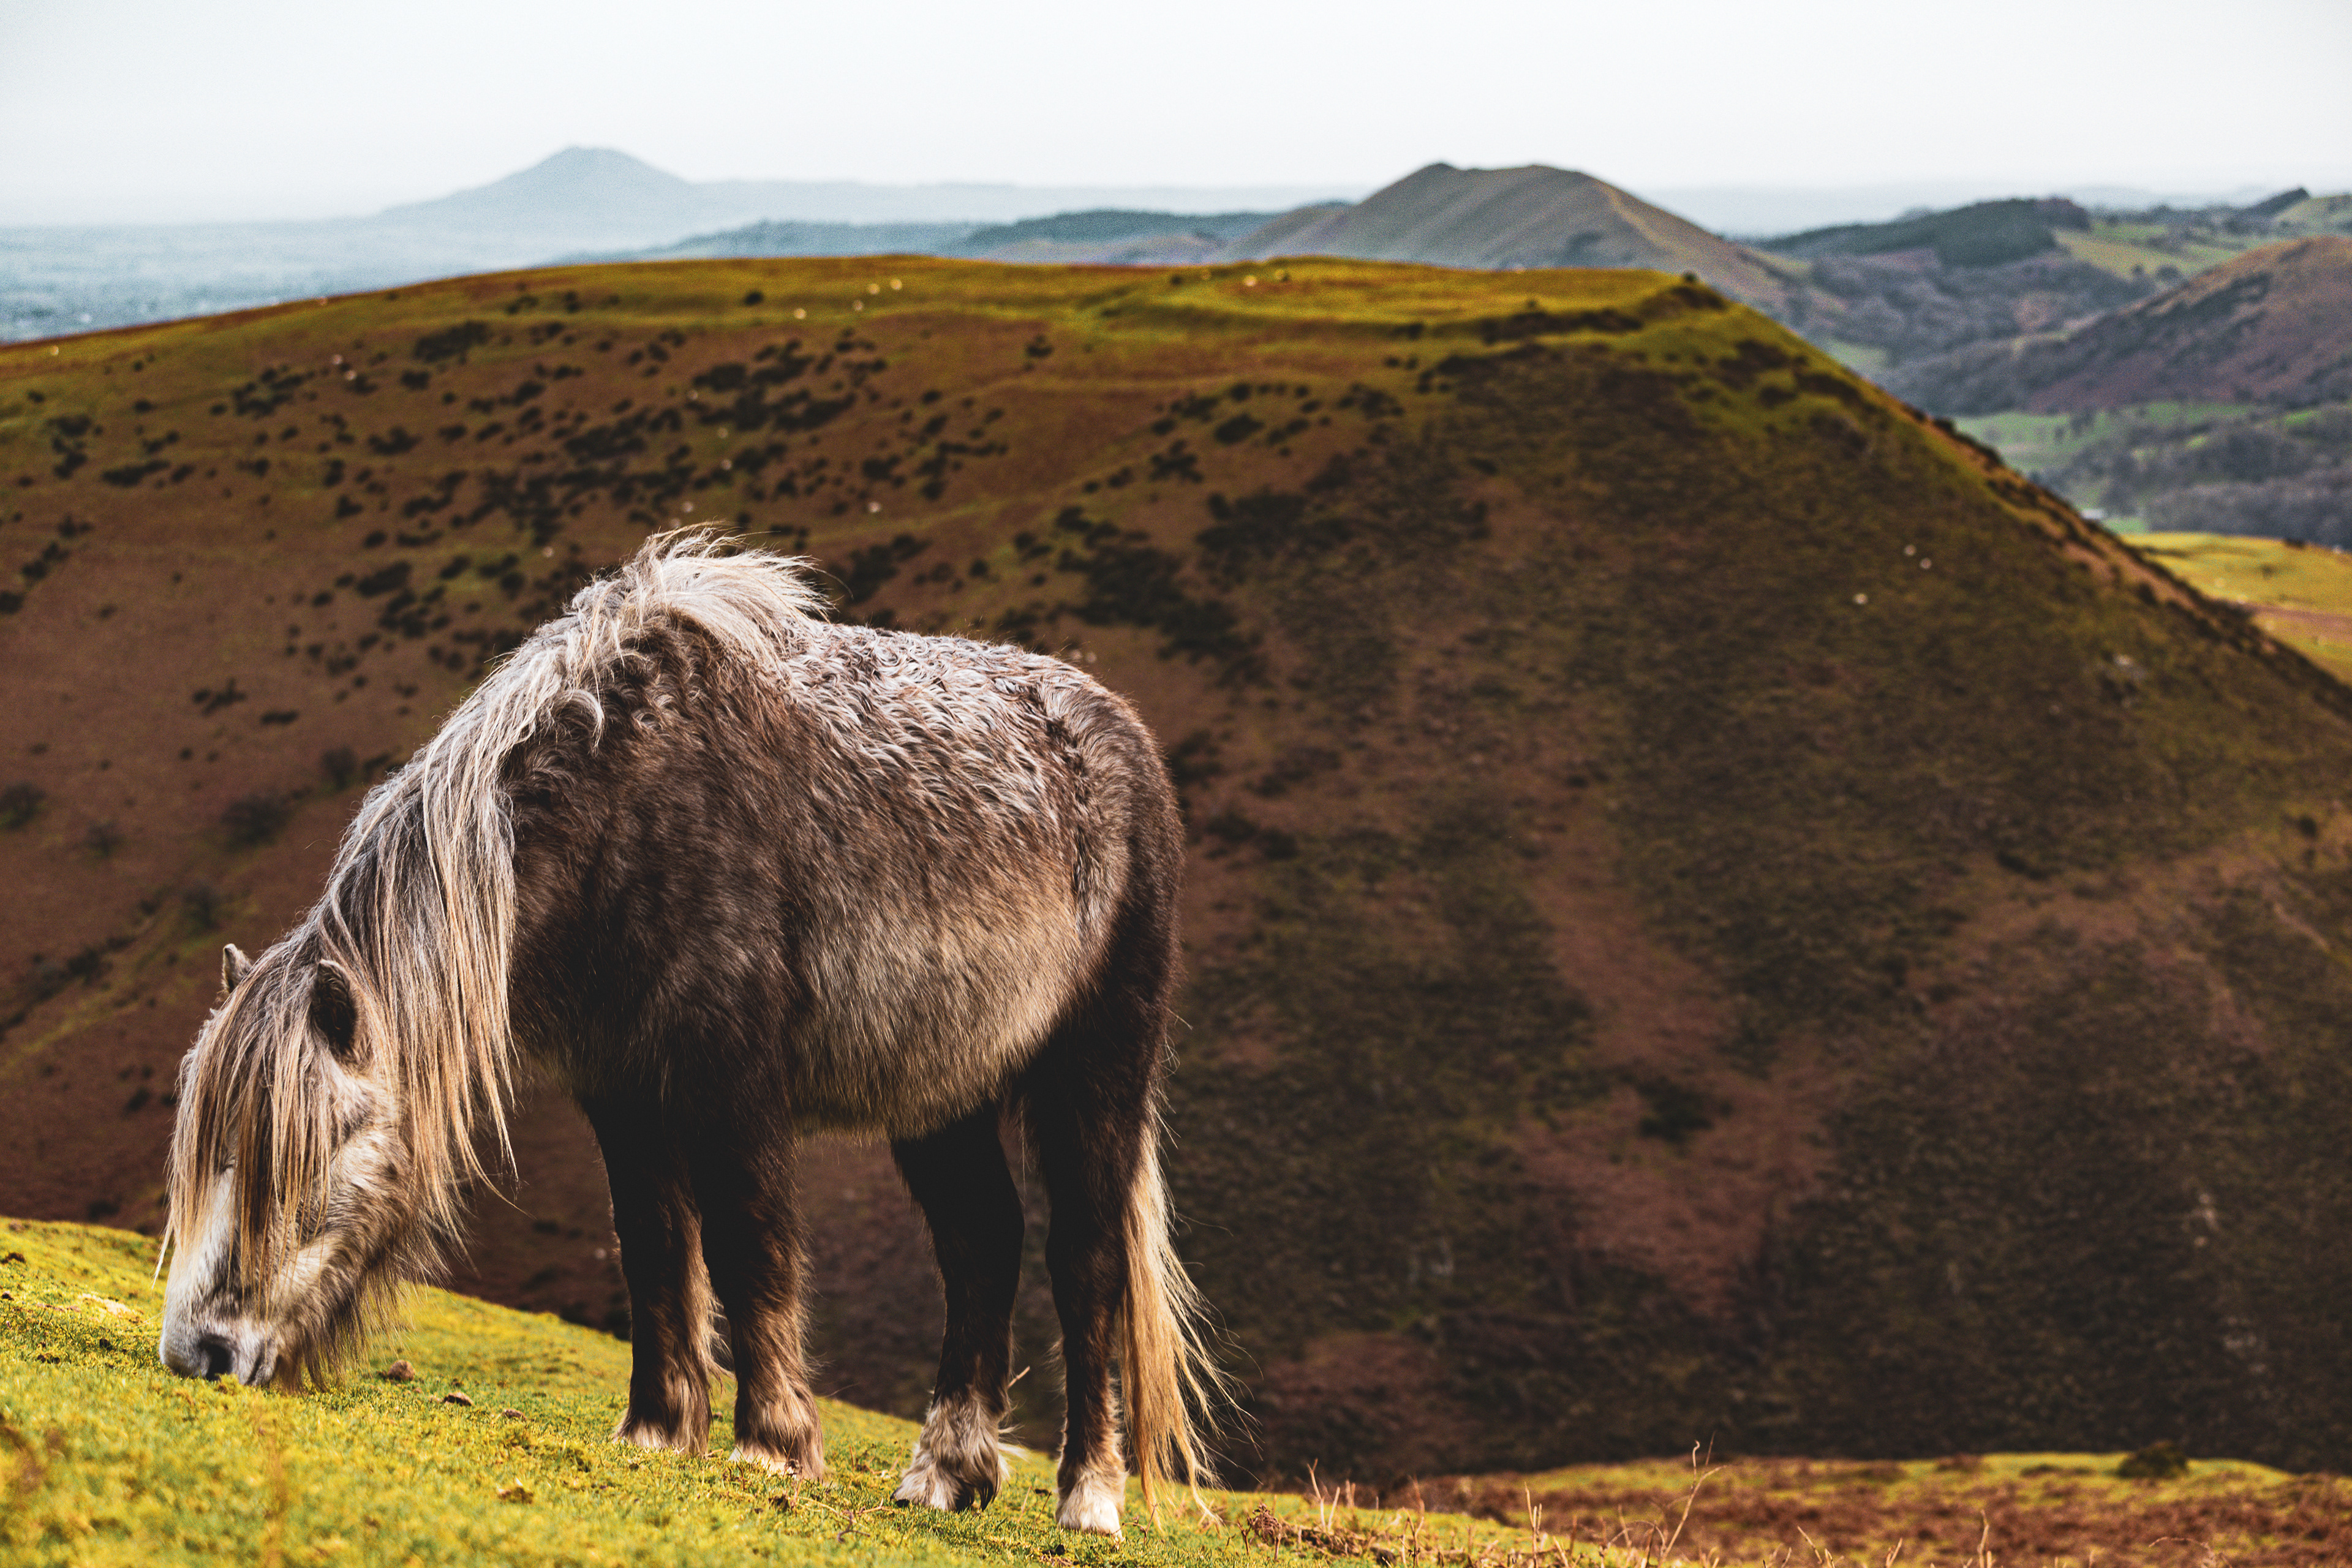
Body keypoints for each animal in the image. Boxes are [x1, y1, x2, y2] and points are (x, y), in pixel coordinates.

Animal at [157, 533, 1223, 1534]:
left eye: (316, 1146)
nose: (198, 1353)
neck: (620, 815)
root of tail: (1123, 740)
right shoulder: (622, 1087)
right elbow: (657, 1249)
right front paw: (660, 1431)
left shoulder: (733, 1080)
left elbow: (750, 1245)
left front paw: (774, 1447)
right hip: (939, 1092)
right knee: (982, 1246)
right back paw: (945, 1475)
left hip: (1094, 1070)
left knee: (1086, 1264)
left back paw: (1087, 1496)